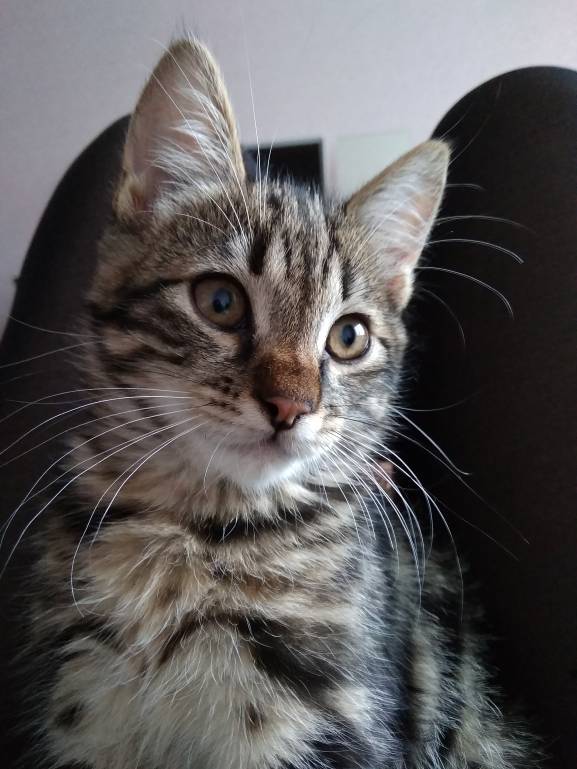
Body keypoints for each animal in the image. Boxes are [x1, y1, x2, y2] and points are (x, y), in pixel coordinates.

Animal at [18, 38, 536, 769]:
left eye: (348, 337)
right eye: (219, 301)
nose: (291, 405)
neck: (199, 533)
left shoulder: (331, 718)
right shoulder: (81, 703)